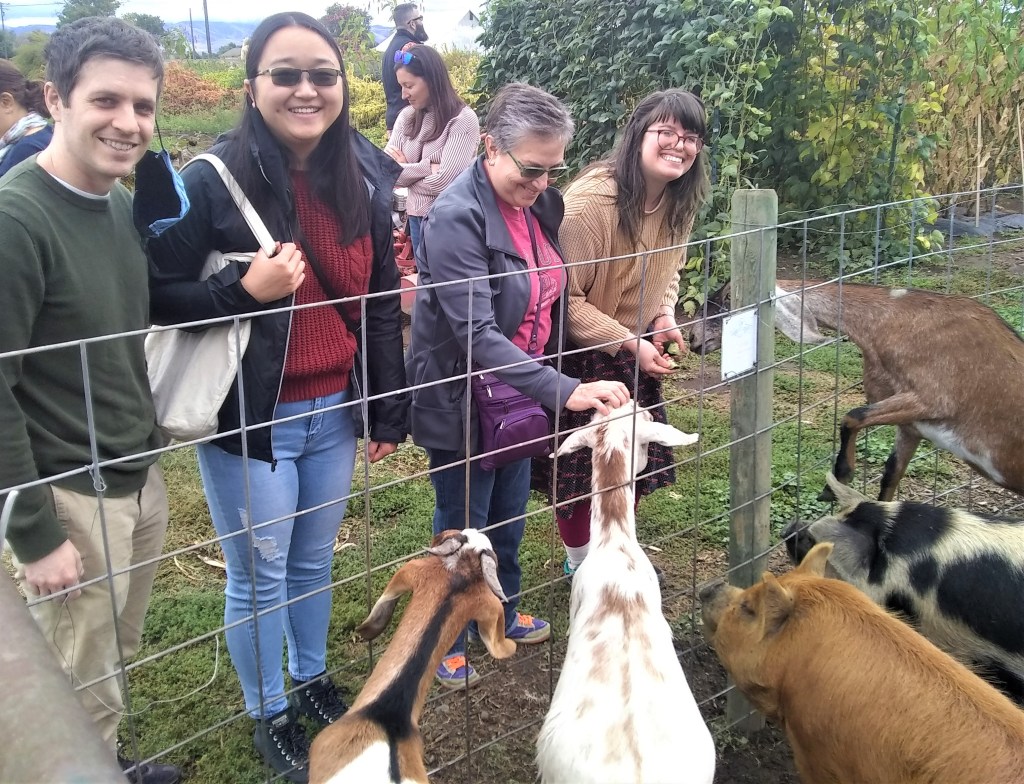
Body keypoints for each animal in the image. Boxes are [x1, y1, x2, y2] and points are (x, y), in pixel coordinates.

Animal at [774, 278, 1024, 501]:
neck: (892, 319)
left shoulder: (933, 400)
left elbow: (853, 416)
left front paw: (837, 481)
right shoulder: (912, 426)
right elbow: (891, 473)